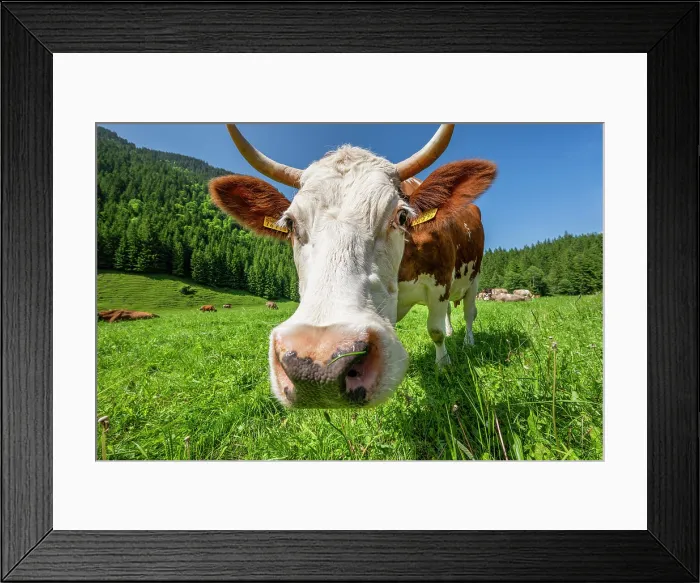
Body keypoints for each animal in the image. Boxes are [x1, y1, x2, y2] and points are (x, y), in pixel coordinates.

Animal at [209, 123, 496, 409]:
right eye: (289, 223)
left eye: (402, 216)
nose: (318, 365)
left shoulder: (440, 281)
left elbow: (435, 331)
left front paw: (443, 365)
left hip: (475, 277)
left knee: (469, 313)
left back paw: (468, 342)